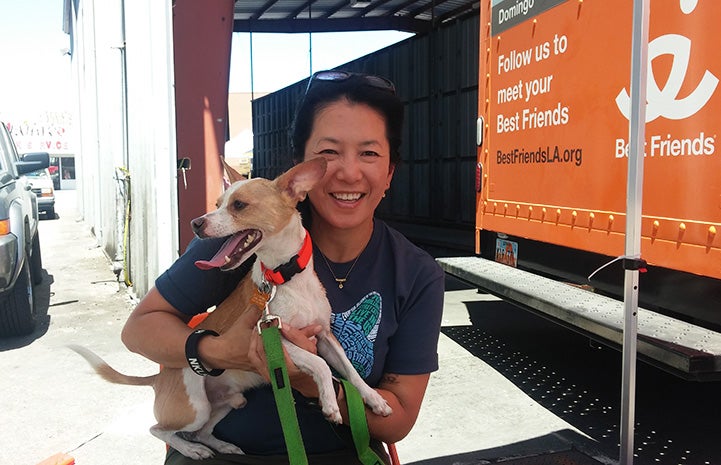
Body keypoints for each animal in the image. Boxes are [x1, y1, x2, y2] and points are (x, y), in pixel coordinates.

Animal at [70, 155, 390, 456]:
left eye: (239, 205)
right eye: (216, 204)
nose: (195, 223)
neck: (283, 278)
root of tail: (159, 377)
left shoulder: (324, 335)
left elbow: (348, 370)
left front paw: (374, 399)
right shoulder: (273, 337)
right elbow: (321, 364)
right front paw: (330, 404)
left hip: (230, 402)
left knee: (202, 430)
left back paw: (222, 446)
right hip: (196, 409)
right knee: (158, 429)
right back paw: (192, 450)